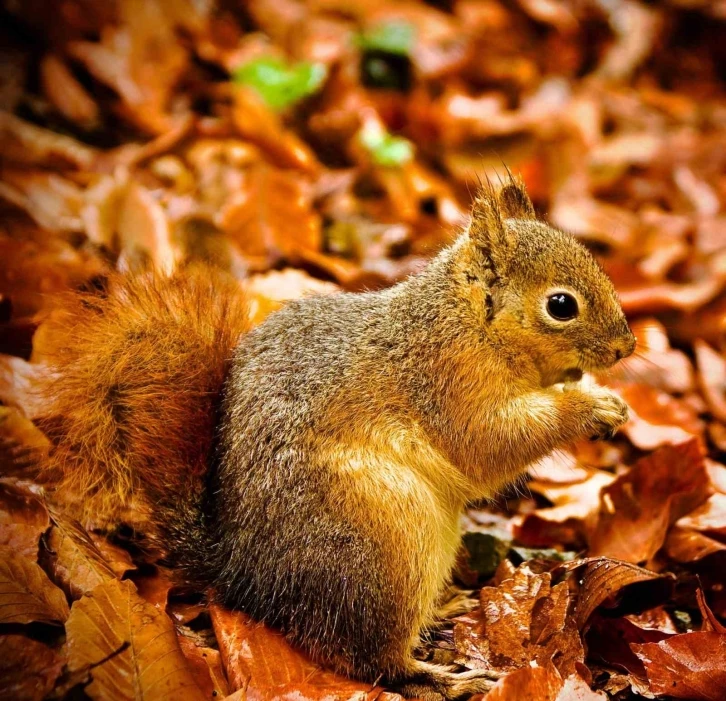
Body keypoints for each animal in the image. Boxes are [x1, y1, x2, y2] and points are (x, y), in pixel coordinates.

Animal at [32, 176, 636, 700]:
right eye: (561, 305)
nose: (627, 347)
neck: (466, 324)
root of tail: (242, 572)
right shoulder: (447, 383)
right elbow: (490, 441)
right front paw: (589, 405)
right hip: (386, 540)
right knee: (369, 656)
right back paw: (440, 678)